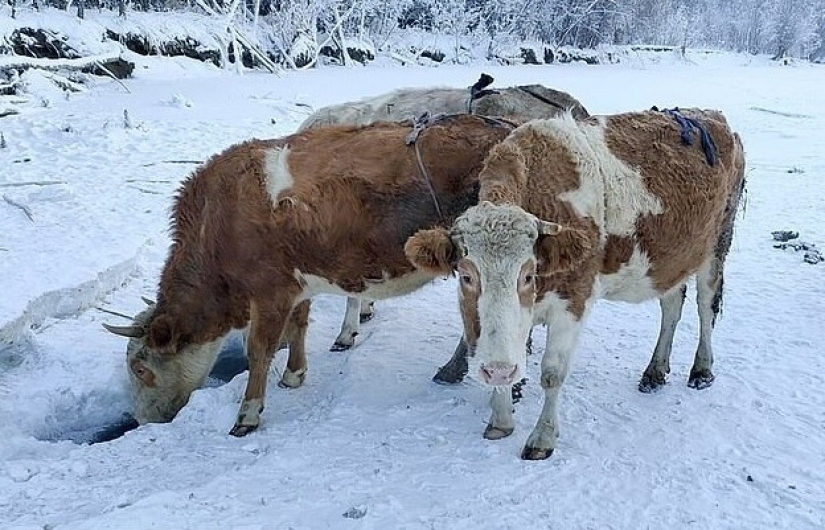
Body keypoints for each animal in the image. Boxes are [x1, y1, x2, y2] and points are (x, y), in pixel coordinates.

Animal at [102, 113, 515, 433]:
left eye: (140, 368)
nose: (142, 420)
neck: (217, 223)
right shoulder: (296, 284)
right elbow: (298, 325)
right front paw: (294, 375)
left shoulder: (268, 292)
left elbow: (259, 351)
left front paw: (247, 415)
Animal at [405, 109, 747, 460]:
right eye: (467, 276)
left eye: (527, 275)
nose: (495, 370)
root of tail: (712, 117)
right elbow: (511, 353)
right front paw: (500, 419)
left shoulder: (574, 300)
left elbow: (552, 374)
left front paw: (542, 438)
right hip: (673, 258)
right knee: (672, 306)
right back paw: (654, 371)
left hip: (717, 245)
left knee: (706, 308)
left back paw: (701, 370)